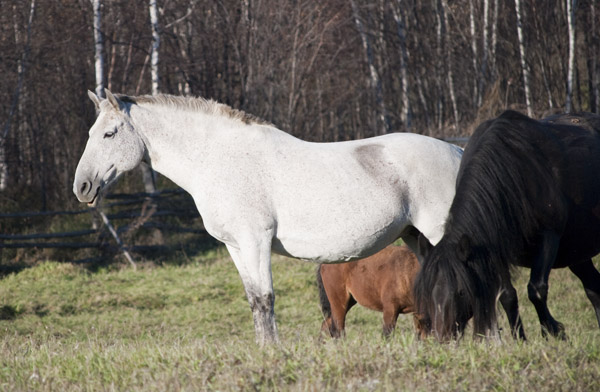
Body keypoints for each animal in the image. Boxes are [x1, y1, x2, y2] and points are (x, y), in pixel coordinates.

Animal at [72, 89, 462, 344]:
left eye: (109, 133)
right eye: (91, 133)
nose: (82, 186)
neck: (219, 159)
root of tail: (455, 150)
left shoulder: (255, 241)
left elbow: (266, 298)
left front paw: (273, 350)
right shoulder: (235, 246)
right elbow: (254, 299)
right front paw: (263, 350)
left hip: (437, 232)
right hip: (414, 235)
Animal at [414, 109, 600, 340]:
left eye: (461, 291)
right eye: (428, 292)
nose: (443, 338)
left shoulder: (549, 237)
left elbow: (537, 290)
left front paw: (553, 333)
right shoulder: (493, 247)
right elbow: (507, 296)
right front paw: (520, 339)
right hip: (576, 252)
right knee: (594, 288)